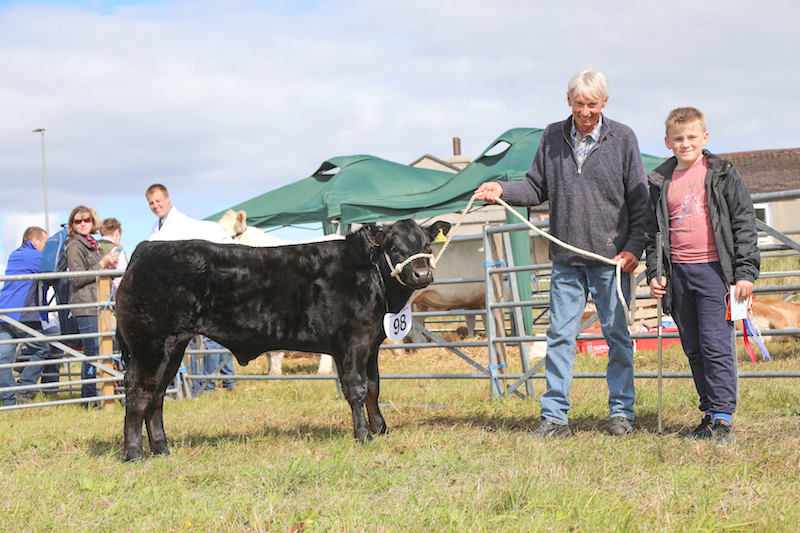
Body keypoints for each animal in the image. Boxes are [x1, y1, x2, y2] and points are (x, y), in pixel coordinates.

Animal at [116, 219, 450, 461]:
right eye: (394, 248)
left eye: (426, 244)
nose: (422, 274)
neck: (373, 278)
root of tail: (145, 250)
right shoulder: (352, 340)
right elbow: (356, 390)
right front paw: (362, 436)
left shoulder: (371, 344)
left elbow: (373, 388)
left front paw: (381, 430)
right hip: (149, 344)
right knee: (138, 392)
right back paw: (134, 454)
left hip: (171, 347)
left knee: (157, 395)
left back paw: (162, 450)